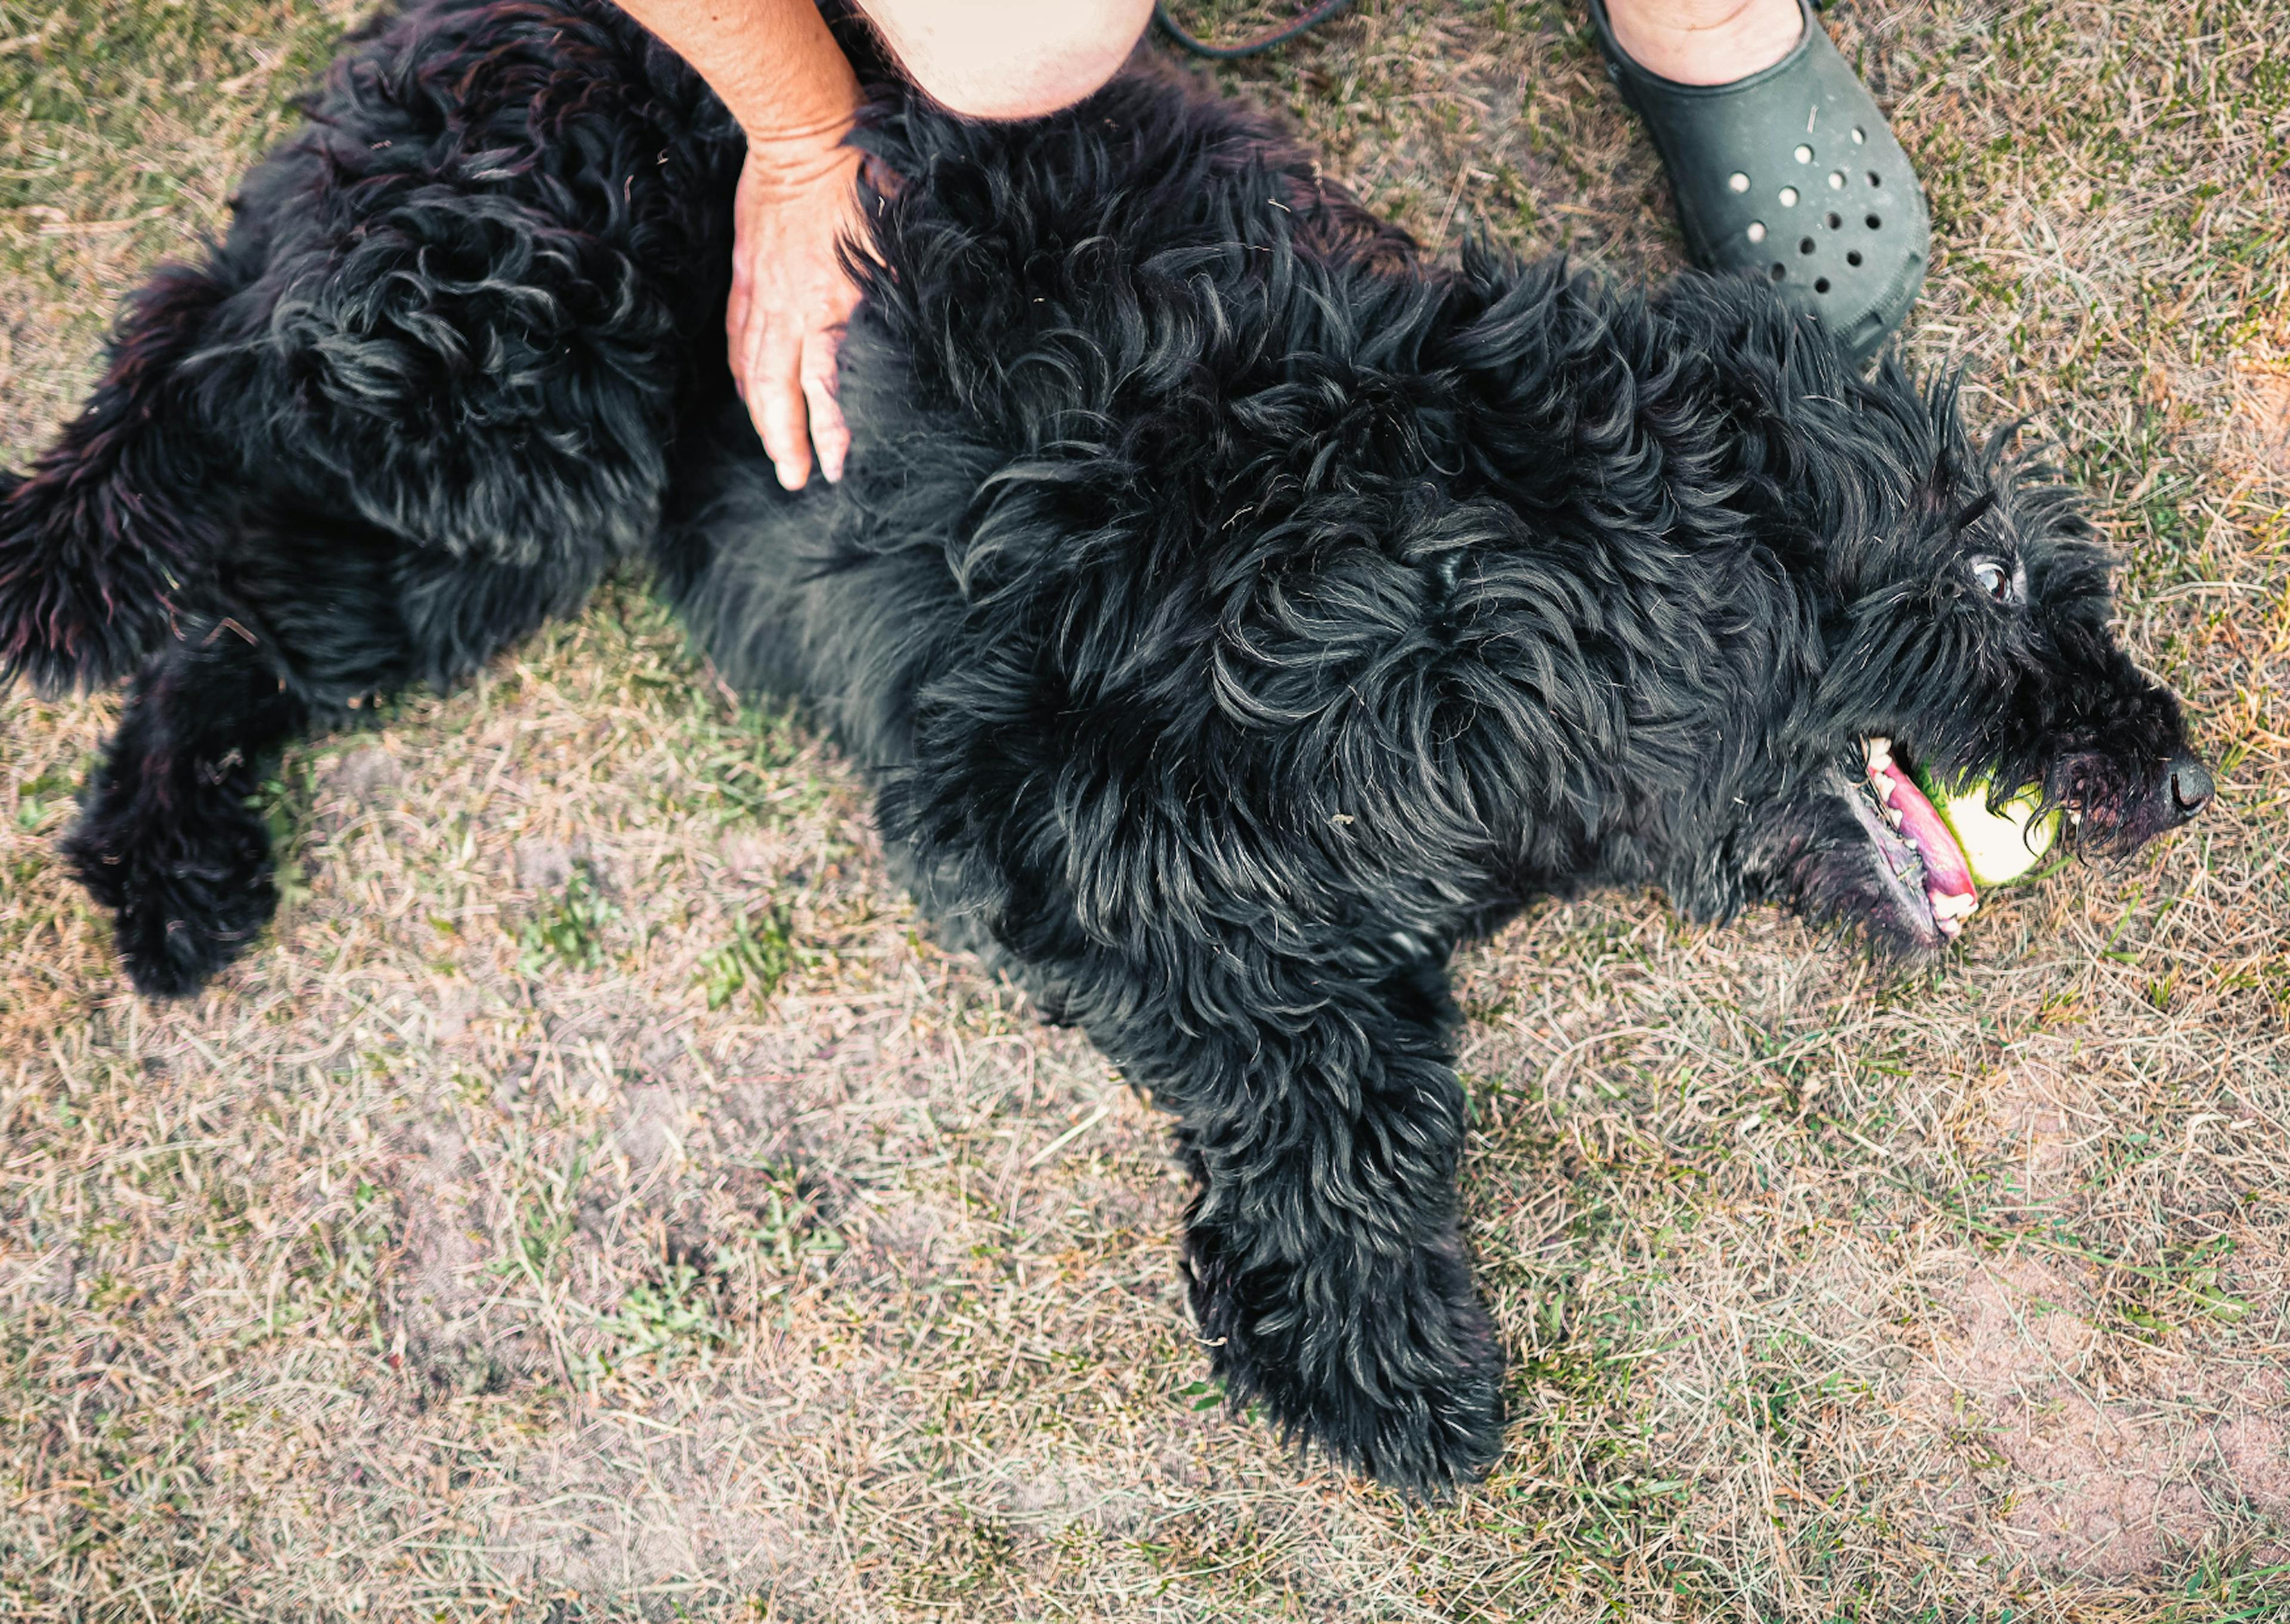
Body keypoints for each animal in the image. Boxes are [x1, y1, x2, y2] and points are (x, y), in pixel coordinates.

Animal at [4, 0, 2217, 1493]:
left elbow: (1344, 1045)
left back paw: (170, 876)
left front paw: (1337, 1323)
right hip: (509, 348)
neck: (1512, 565)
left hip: (482, 541)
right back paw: (68, 549)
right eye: (1994, 566)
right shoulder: (1026, 808)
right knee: (217, 348)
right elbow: (1310, 1065)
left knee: (242, 623)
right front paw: (1376, 1354)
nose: (2182, 774)